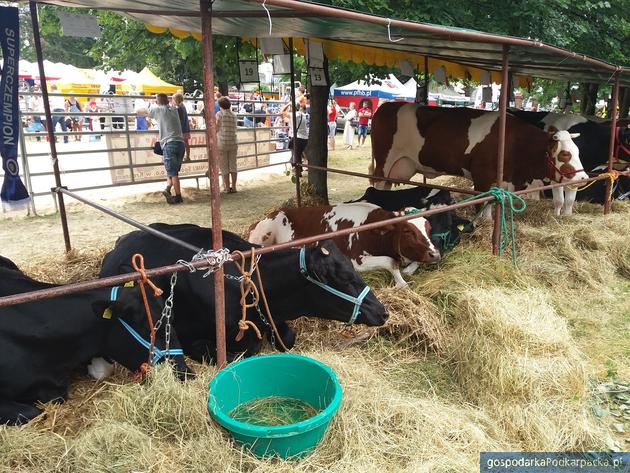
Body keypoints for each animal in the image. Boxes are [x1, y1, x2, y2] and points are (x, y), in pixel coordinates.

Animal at [249, 201, 442, 286]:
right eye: (407, 231)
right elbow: (390, 262)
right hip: (265, 233)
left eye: (429, 228)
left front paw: (408, 270)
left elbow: (414, 261)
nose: (436, 254)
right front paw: (401, 283)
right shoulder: (356, 260)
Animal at [372, 103, 592, 216]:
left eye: (578, 152)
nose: (584, 178)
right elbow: (483, 204)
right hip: (384, 163)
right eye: (565, 154)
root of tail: (387, 106)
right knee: (379, 186)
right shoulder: (481, 177)